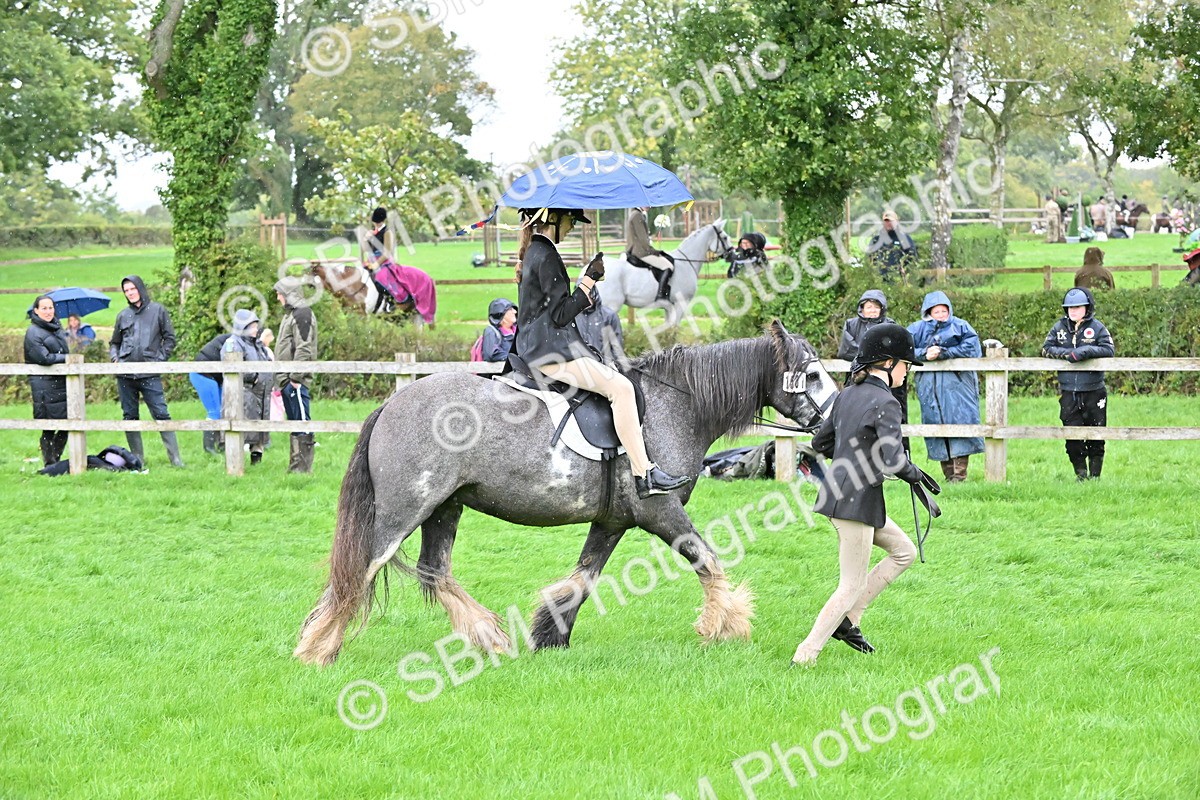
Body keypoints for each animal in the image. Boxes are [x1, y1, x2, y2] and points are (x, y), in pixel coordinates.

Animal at [293, 321, 839, 666]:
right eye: (811, 375)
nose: (831, 427)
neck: (675, 406)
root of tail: (391, 403)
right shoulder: (660, 512)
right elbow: (707, 559)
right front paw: (725, 624)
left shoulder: (613, 522)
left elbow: (584, 578)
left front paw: (550, 635)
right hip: (403, 512)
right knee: (358, 574)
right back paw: (318, 649)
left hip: (444, 508)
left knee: (435, 572)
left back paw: (490, 637)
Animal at [598, 220, 734, 326]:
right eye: (725, 237)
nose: (733, 254)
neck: (686, 261)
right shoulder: (681, 303)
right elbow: (674, 329)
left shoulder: (669, 307)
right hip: (611, 305)